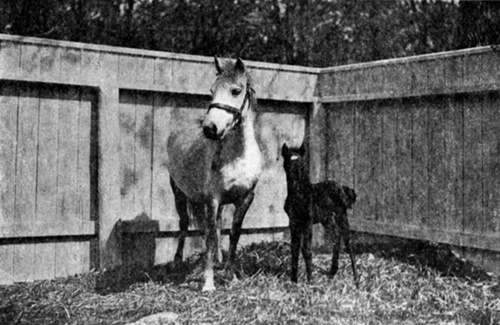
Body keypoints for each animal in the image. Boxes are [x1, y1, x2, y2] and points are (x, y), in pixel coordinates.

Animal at [282, 143, 360, 284]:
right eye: (288, 161)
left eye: (302, 163)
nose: (295, 176)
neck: (299, 195)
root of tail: (343, 188)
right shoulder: (294, 222)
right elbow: (294, 248)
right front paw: (293, 280)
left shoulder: (307, 222)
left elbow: (306, 249)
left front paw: (310, 280)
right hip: (327, 219)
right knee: (336, 235)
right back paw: (332, 272)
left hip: (341, 215)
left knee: (348, 242)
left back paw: (356, 279)